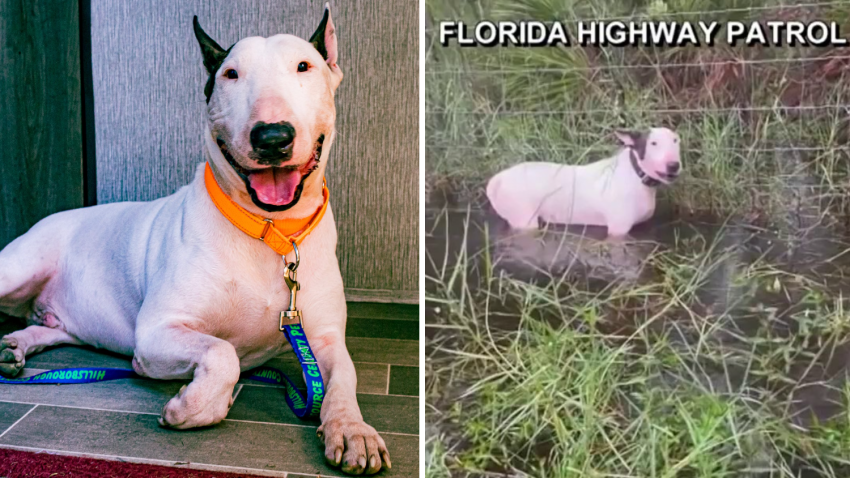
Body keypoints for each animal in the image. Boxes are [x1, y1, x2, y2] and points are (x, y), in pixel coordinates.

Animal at [0, 5, 390, 476]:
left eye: (304, 66)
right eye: (231, 74)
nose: (272, 137)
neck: (270, 231)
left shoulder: (325, 337)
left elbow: (346, 377)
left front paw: (353, 431)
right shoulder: (157, 332)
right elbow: (222, 353)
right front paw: (191, 406)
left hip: (69, 321)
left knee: (47, 327)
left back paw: (15, 347)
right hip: (19, 268)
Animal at [486, 128, 680, 238]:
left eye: (676, 140)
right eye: (653, 143)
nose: (674, 165)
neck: (635, 174)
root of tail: (498, 179)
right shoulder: (618, 230)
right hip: (524, 220)